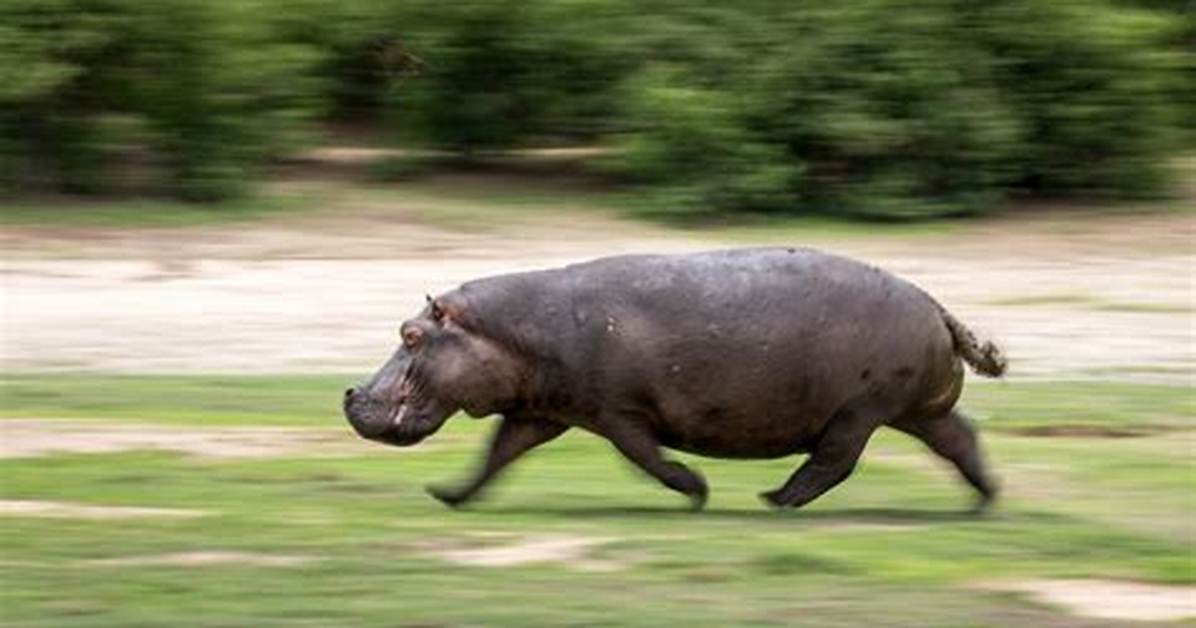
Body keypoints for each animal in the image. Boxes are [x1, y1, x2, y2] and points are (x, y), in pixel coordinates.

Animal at [343, 248, 1005, 511]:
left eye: (410, 335)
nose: (351, 395)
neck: (514, 329)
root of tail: (936, 304)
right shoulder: (541, 411)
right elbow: (496, 455)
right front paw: (447, 496)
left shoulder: (617, 412)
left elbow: (644, 457)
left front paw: (696, 489)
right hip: (914, 408)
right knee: (961, 440)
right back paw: (984, 501)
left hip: (862, 410)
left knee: (835, 460)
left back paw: (774, 500)